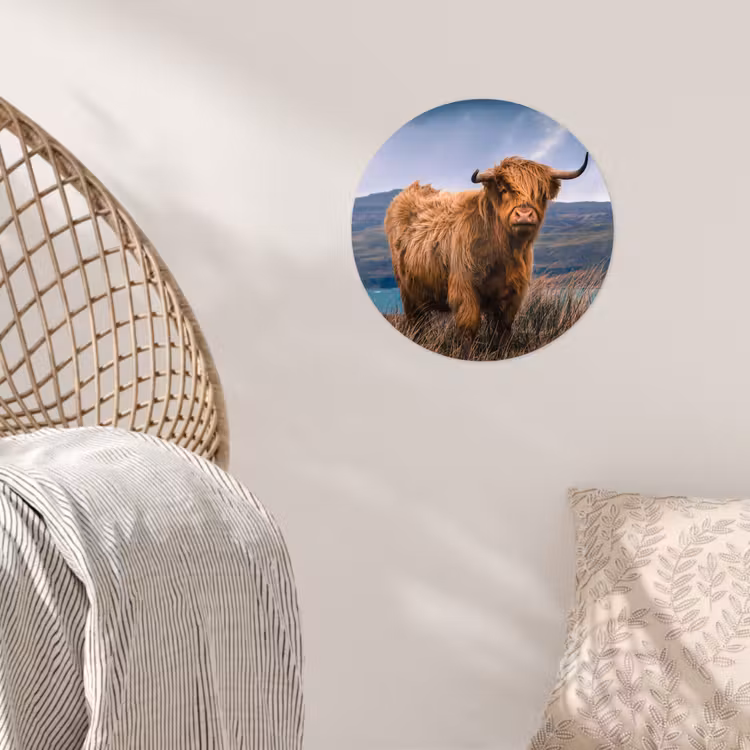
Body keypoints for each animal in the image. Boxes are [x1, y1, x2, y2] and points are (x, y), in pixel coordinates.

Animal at [384, 152, 589, 357]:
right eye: (504, 189)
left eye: (541, 193)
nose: (524, 215)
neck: (503, 253)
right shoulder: (464, 289)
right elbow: (469, 328)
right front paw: (468, 356)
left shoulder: (513, 293)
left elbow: (503, 328)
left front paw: (501, 354)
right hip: (407, 290)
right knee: (416, 322)